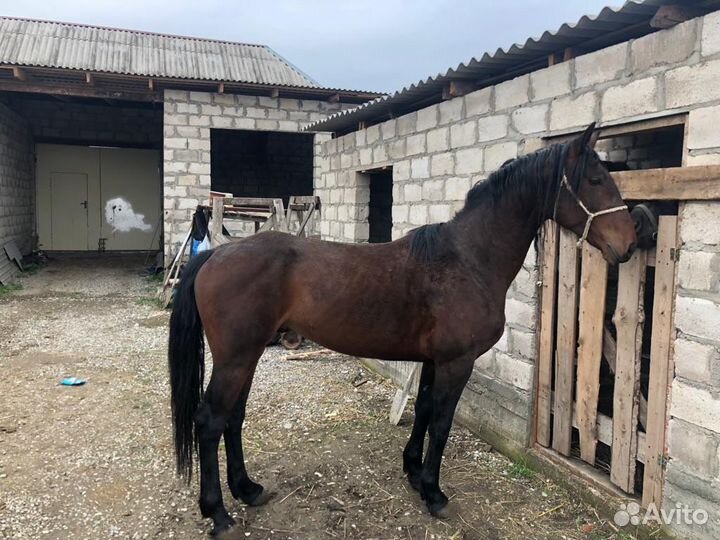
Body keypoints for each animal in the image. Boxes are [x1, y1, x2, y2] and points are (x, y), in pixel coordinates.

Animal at [168, 122, 637, 536]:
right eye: (596, 178)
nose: (630, 243)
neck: (467, 260)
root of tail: (214, 255)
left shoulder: (433, 360)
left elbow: (425, 410)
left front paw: (413, 472)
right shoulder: (456, 362)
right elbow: (442, 423)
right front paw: (434, 493)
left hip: (248, 355)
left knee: (233, 418)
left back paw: (248, 490)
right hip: (236, 357)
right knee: (210, 421)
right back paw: (219, 515)